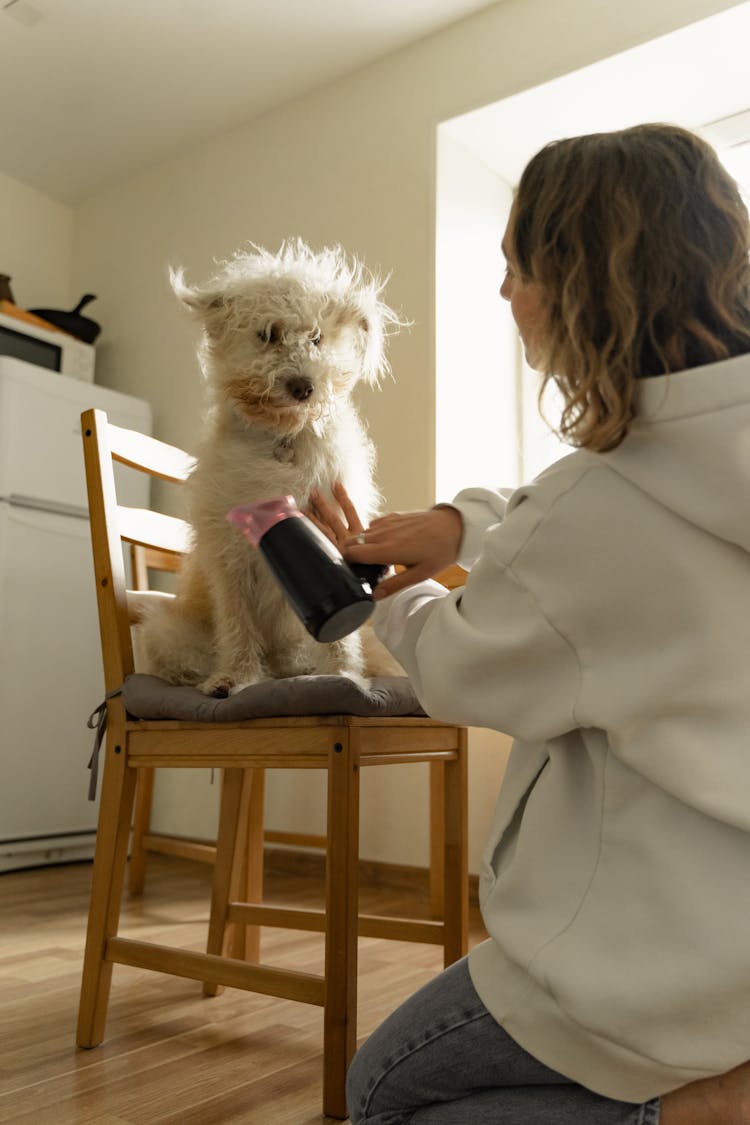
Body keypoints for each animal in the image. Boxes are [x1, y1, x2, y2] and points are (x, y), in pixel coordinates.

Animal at [137, 238, 402, 693]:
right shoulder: (229, 555)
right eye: (268, 334)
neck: (283, 439)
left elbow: (343, 637)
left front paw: (345, 674)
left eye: (316, 337)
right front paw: (237, 677)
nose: (302, 386)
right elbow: (238, 623)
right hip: (166, 632)